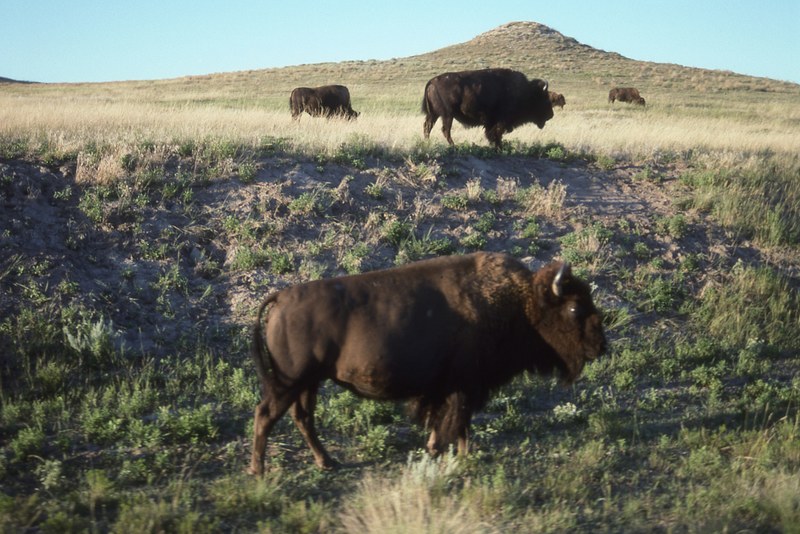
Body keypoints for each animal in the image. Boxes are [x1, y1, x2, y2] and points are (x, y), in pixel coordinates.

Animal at [249, 252, 606, 474]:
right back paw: (259, 470)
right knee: (266, 415)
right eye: (574, 308)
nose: (600, 346)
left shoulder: (453, 388)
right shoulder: (466, 386)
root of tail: (281, 297)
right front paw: (454, 454)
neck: (522, 302)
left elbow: (450, 422)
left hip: (308, 382)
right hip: (290, 381)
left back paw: (326, 463)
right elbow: (458, 422)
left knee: (302, 418)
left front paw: (446, 451)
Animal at [422, 68, 554, 148]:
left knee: (428, 127)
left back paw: (428, 142)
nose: (551, 115)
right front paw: (499, 147)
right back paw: (454, 146)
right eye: (544, 98)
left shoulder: (491, 122)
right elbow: (496, 134)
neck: (526, 92)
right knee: (445, 130)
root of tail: (432, 81)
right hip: (447, 115)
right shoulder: (501, 121)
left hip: (434, 114)